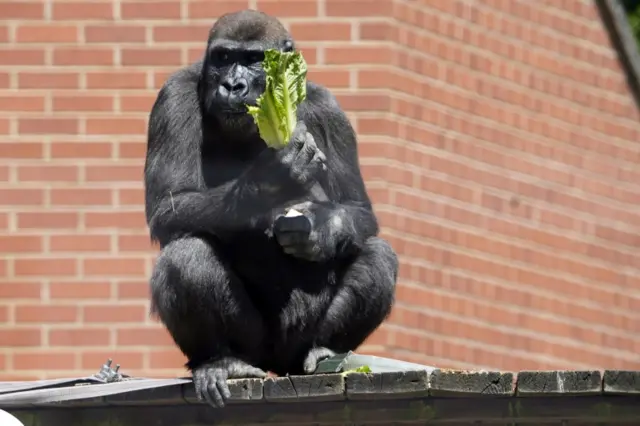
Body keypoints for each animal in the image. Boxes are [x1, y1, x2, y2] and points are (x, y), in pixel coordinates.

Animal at [144, 9, 398, 410]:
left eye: (253, 60)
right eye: (223, 58)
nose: (233, 85)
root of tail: (281, 366)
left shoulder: (330, 109)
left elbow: (359, 210)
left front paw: (321, 226)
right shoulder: (173, 96)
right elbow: (169, 204)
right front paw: (272, 176)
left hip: (298, 348)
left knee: (378, 254)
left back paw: (326, 350)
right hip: (257, 349)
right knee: (186, 254)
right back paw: (222, 361)